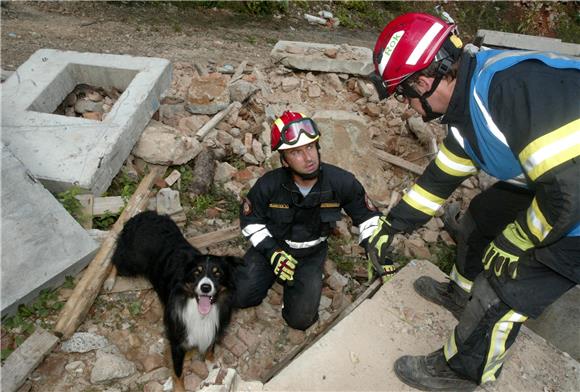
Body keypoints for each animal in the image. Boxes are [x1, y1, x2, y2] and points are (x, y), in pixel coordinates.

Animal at [111, 211, 240, 392]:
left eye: (217, 274)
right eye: (196, 273)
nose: (205, 287)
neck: (198, 311)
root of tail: (142, 214)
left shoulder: (213, 327)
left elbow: (210, 348)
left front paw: (211, 364)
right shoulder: (177, 339)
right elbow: (178, 371)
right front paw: (177, 384)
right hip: (129, 263)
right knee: (114, 259)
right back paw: (108, 280)